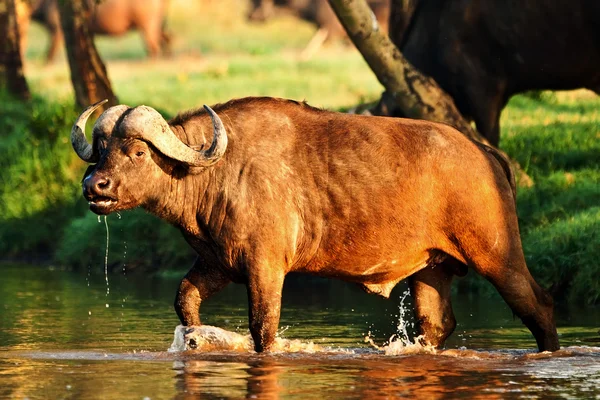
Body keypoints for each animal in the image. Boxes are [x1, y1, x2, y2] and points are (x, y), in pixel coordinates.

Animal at [72, 98, 560, 352]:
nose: (95, 186)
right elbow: (184, 299)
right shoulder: (218, 264)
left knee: (538, 305)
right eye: (101, 150)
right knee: (436, 325)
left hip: (497, 254)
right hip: (431, 270)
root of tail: (486, 153)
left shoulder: (266, 267)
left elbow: (263, 327)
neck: (215, 171)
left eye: (138, 152)